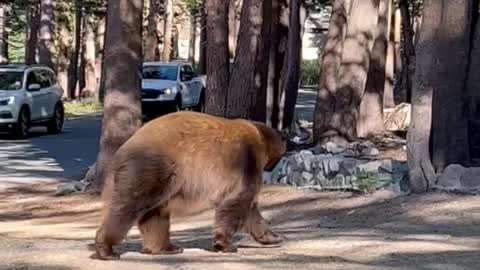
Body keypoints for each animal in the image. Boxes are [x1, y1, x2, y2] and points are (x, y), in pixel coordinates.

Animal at [90, 110, 284, 260]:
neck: (260, 140)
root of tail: (121, 150)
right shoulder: (246, 162)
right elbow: (237, 202)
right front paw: (223, 244)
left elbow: (251, 210)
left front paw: (273, 237)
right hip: (152, 168)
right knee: (127, 206)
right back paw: (106, 249)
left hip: (162, 180)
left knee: (155, 214)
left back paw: (167, 248)